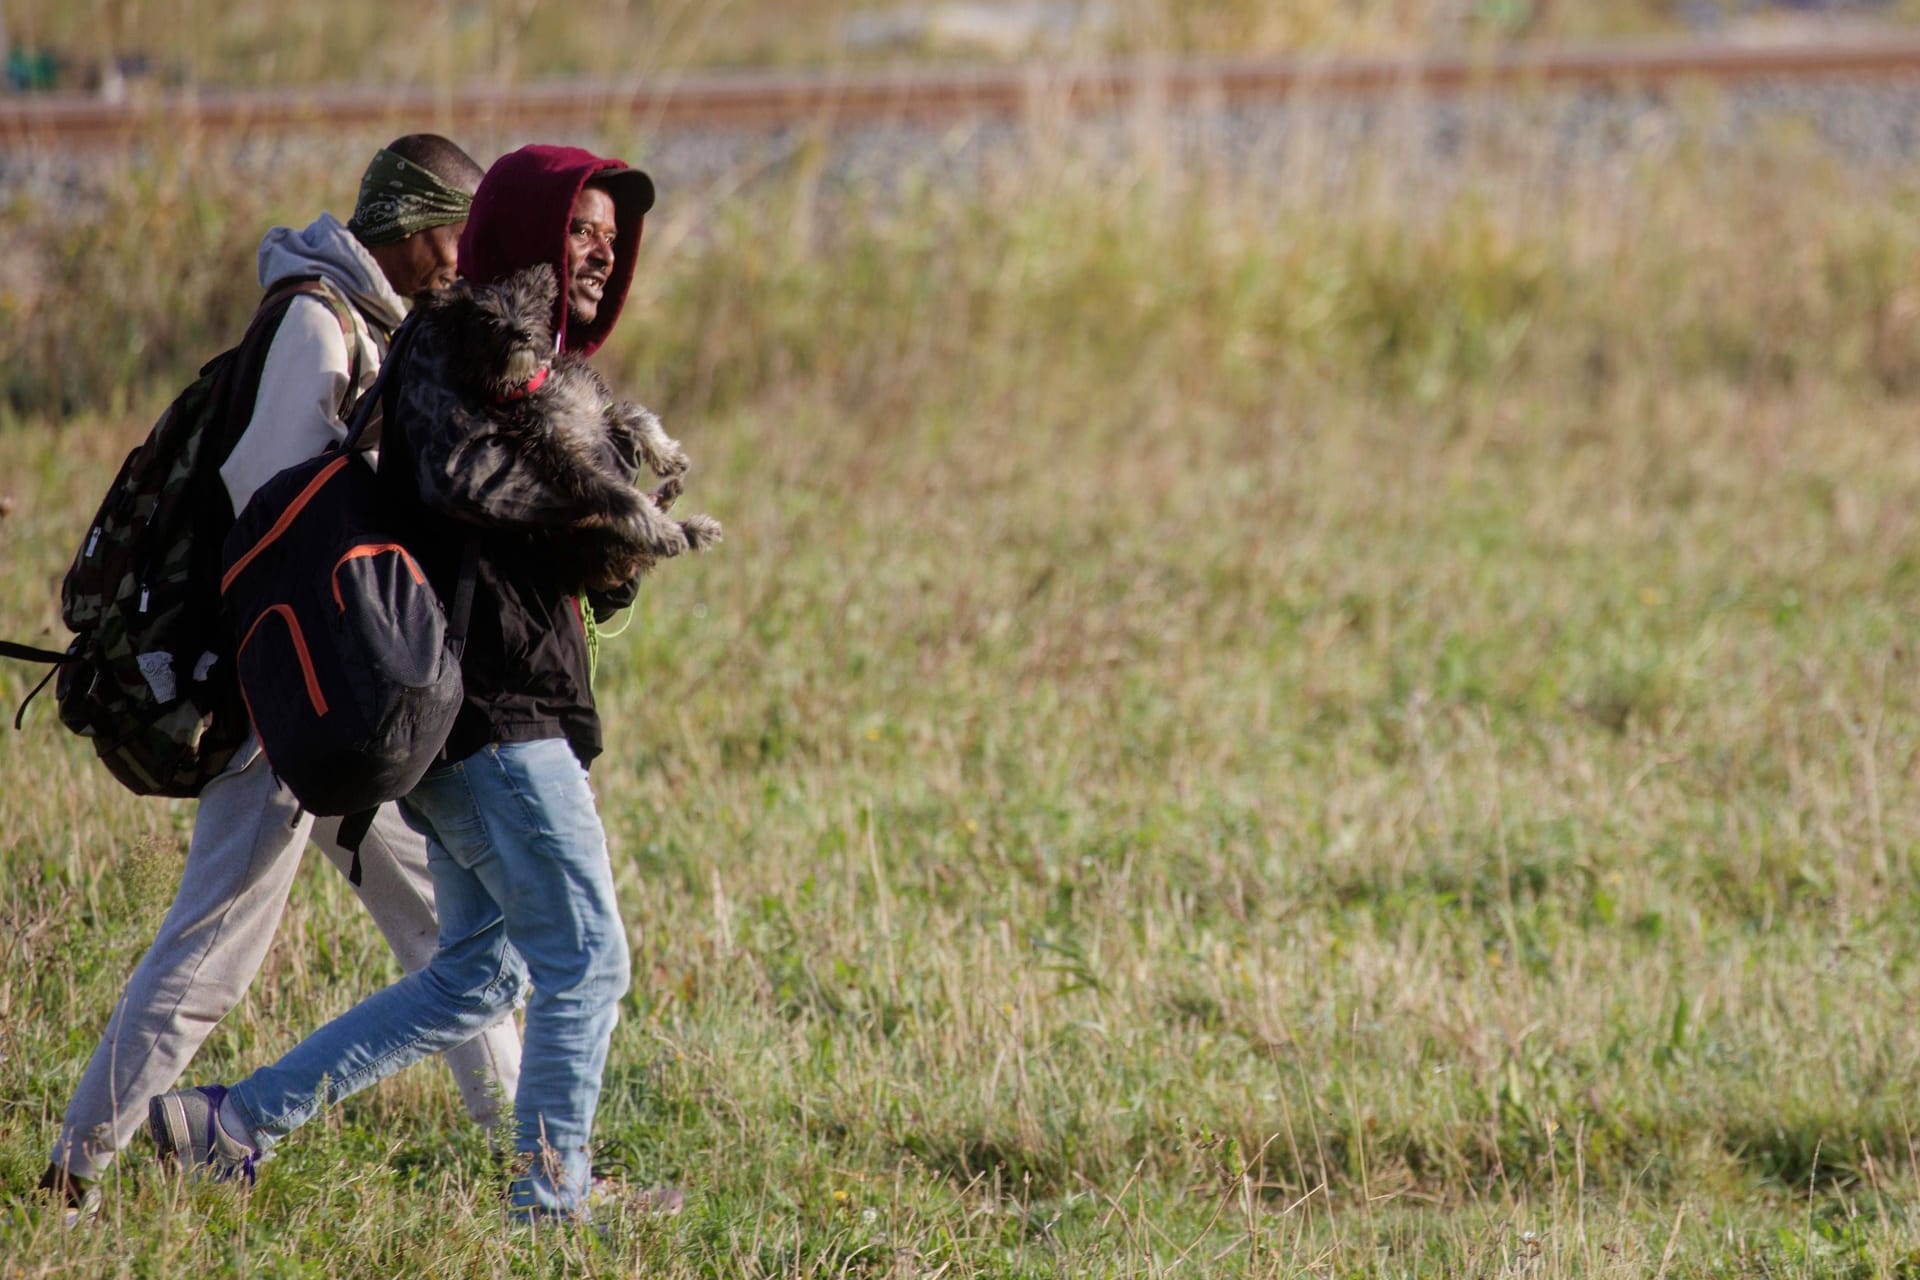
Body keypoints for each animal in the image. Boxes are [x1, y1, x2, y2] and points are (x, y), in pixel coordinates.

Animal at [416, 266, 721, 594]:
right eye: (487, 319)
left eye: (528, 308)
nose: (522, 333)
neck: (531, 385)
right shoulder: (566, 460)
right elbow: (624, 498)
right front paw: (663, 532)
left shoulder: (599, 410)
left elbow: (634, 413)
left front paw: (668, 457)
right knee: (625, 544)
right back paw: (679, 527)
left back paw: (692, 523)